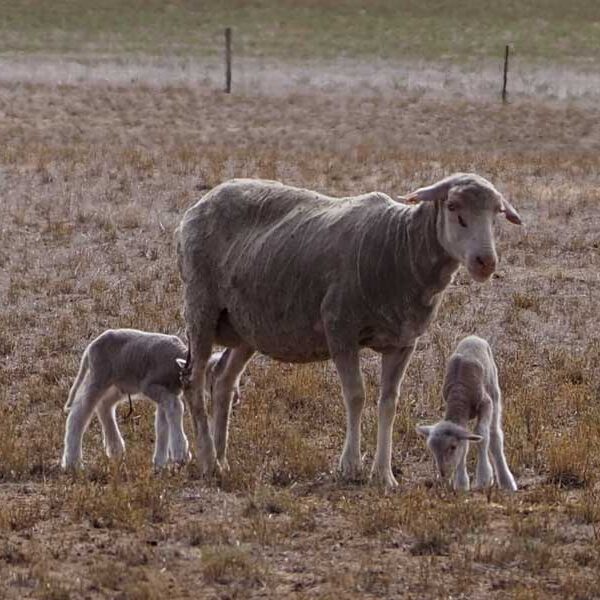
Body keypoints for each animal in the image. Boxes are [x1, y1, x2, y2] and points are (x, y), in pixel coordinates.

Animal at [414, 336, 516, 490]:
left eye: (452, 447)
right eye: (432, 450)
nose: (443, 473)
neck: (459, 390)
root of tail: (474, 337)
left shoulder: (486, 403)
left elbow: (482, 434)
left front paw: (484, 478)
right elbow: (465, 443)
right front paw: (461, 483)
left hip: (493, 389)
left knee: (494, 435)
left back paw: (506, 481)